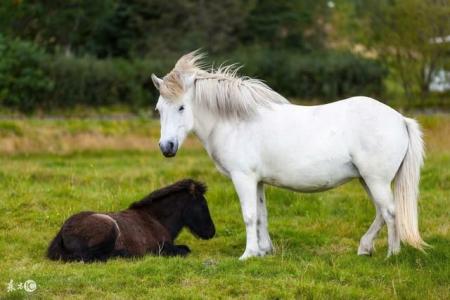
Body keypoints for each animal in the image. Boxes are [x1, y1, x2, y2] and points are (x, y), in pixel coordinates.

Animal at [46, 179, 215, 262]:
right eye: (202, 205)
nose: (212, 232)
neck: (155, 219)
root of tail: (63, 231)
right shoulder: (163, 247)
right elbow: (183, 250)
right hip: (110, 228)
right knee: (94, 256)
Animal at [150, 50, 426, 258]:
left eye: (181, 107)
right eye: (159, 109)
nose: (167, 147)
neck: (236, 121)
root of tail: (400, 119)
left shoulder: (243, 178)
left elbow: (249, 215)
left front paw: (248, 254)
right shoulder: (257, 181)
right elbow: (261, 215)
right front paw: (263, 251)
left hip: (375, 180)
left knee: (390, 213)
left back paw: (392, 255)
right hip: (366, 180)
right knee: (382, 212)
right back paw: (365, 248)